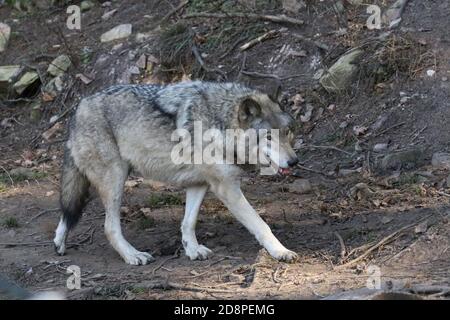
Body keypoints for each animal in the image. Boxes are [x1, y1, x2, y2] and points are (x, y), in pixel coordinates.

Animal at [53, 82, 298, 264]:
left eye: (287, 132)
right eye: (268, 137)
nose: (294, 161)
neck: (219, 123)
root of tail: (78, 108)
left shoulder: (200, 184)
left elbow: (188, 222)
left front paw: (192, 250)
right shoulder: (227, 187)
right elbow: (261, 224)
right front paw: (281, 251)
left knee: (67, 214)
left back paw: (59, 244)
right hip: (115, 180)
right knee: (109, 228)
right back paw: (133, 255)